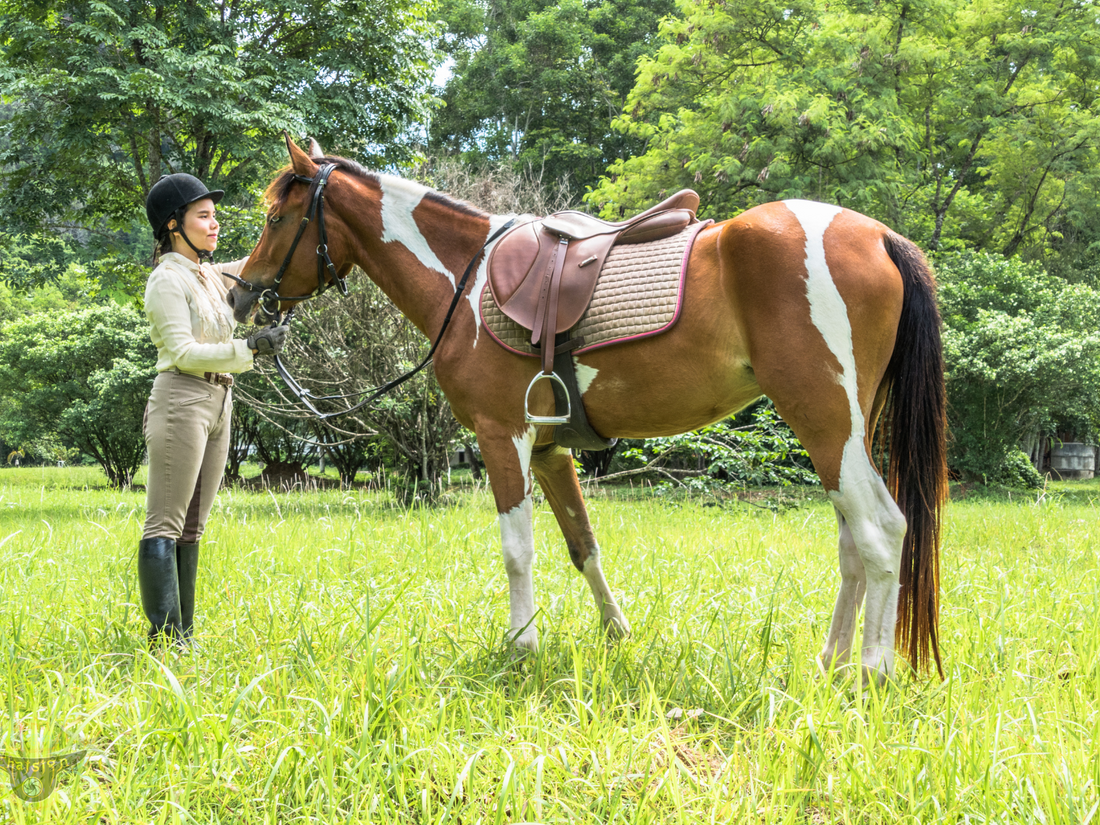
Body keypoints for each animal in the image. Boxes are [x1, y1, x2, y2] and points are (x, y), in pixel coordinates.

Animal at [229, 135, 946, 686]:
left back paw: (873, 672)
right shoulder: (552, 451)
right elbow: (583, 546)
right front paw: (616, 633)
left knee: (882, 530)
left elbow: (518, 550)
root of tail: (880, 235)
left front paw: (521, 648)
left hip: (826, 425)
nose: (241, 296)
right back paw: (830, 663)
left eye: (274, 218)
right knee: (854, 542)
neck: (465, 279)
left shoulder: (503, 438)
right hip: (843, 433)